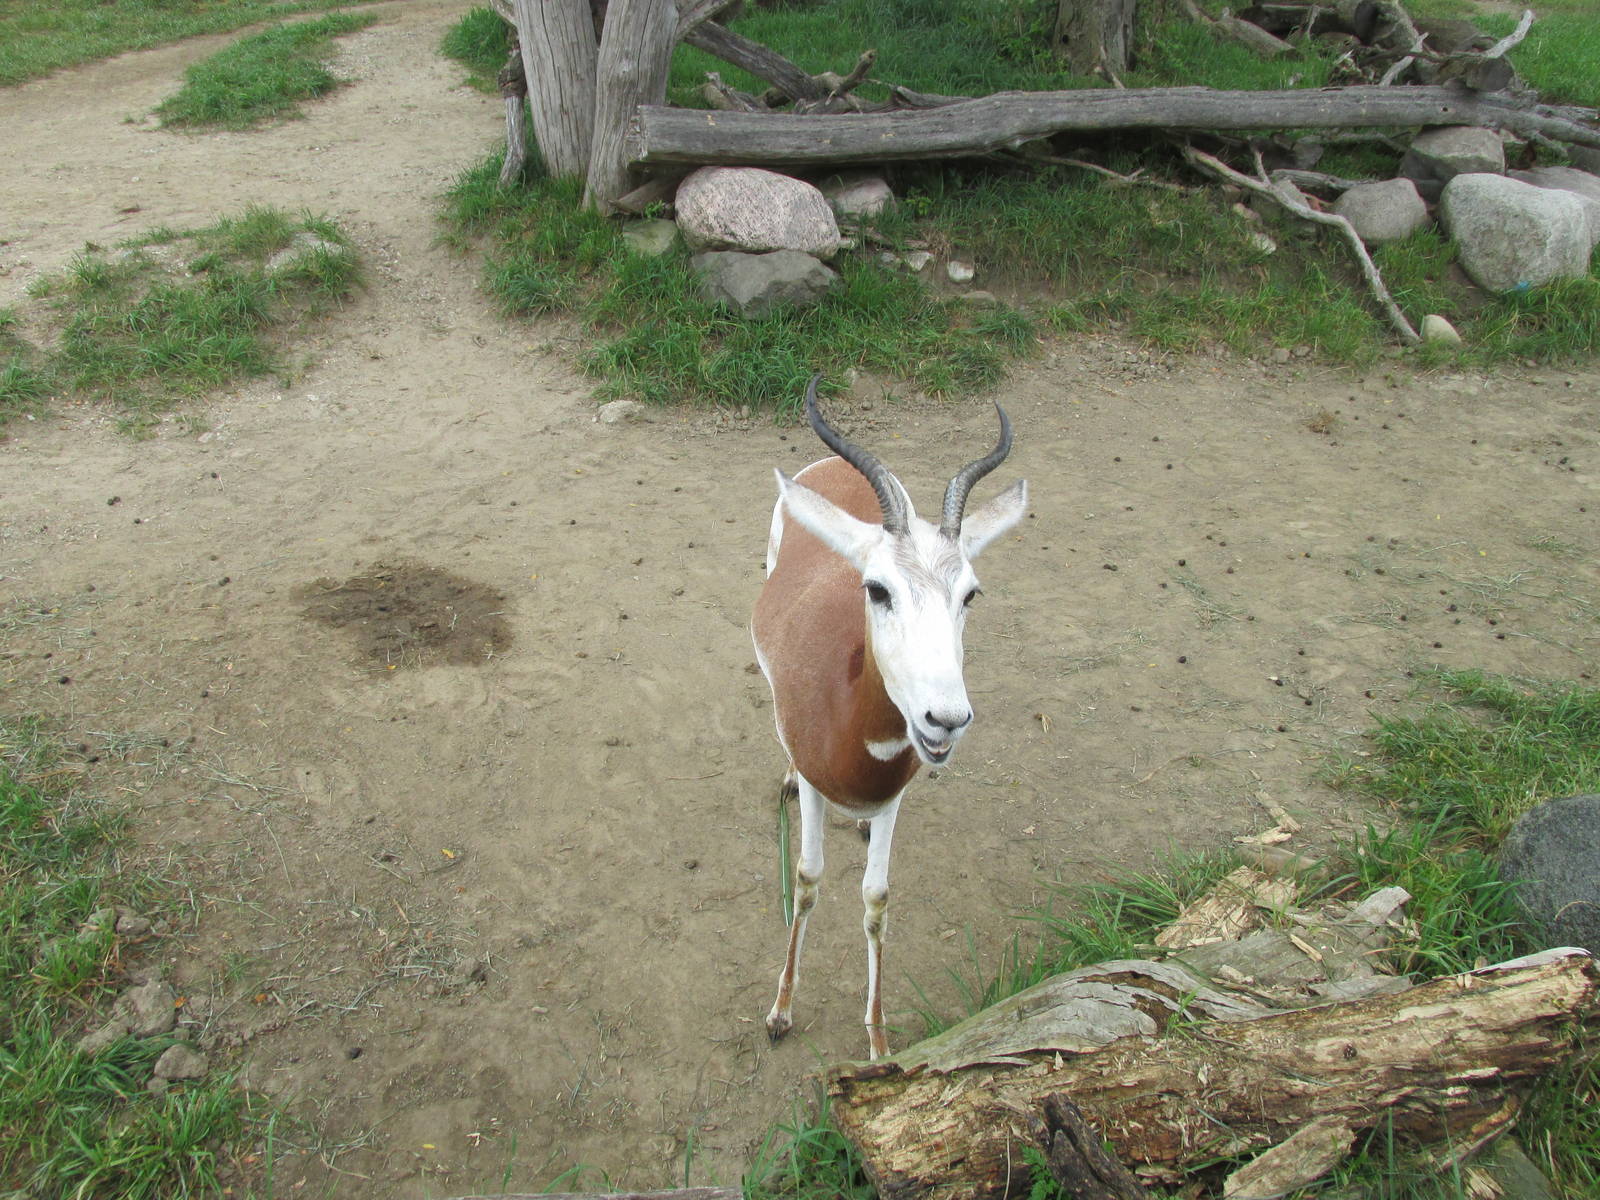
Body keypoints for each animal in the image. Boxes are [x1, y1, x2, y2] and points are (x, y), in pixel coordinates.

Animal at [752, 374, 1027, 1060]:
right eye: (878, 589)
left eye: (970, 594)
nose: (945, 718)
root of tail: (828, 468)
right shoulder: (820, 789)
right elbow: (807, 879)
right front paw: (781, 1010)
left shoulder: (893, 797)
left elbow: (875, 899)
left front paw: (878, 1046)